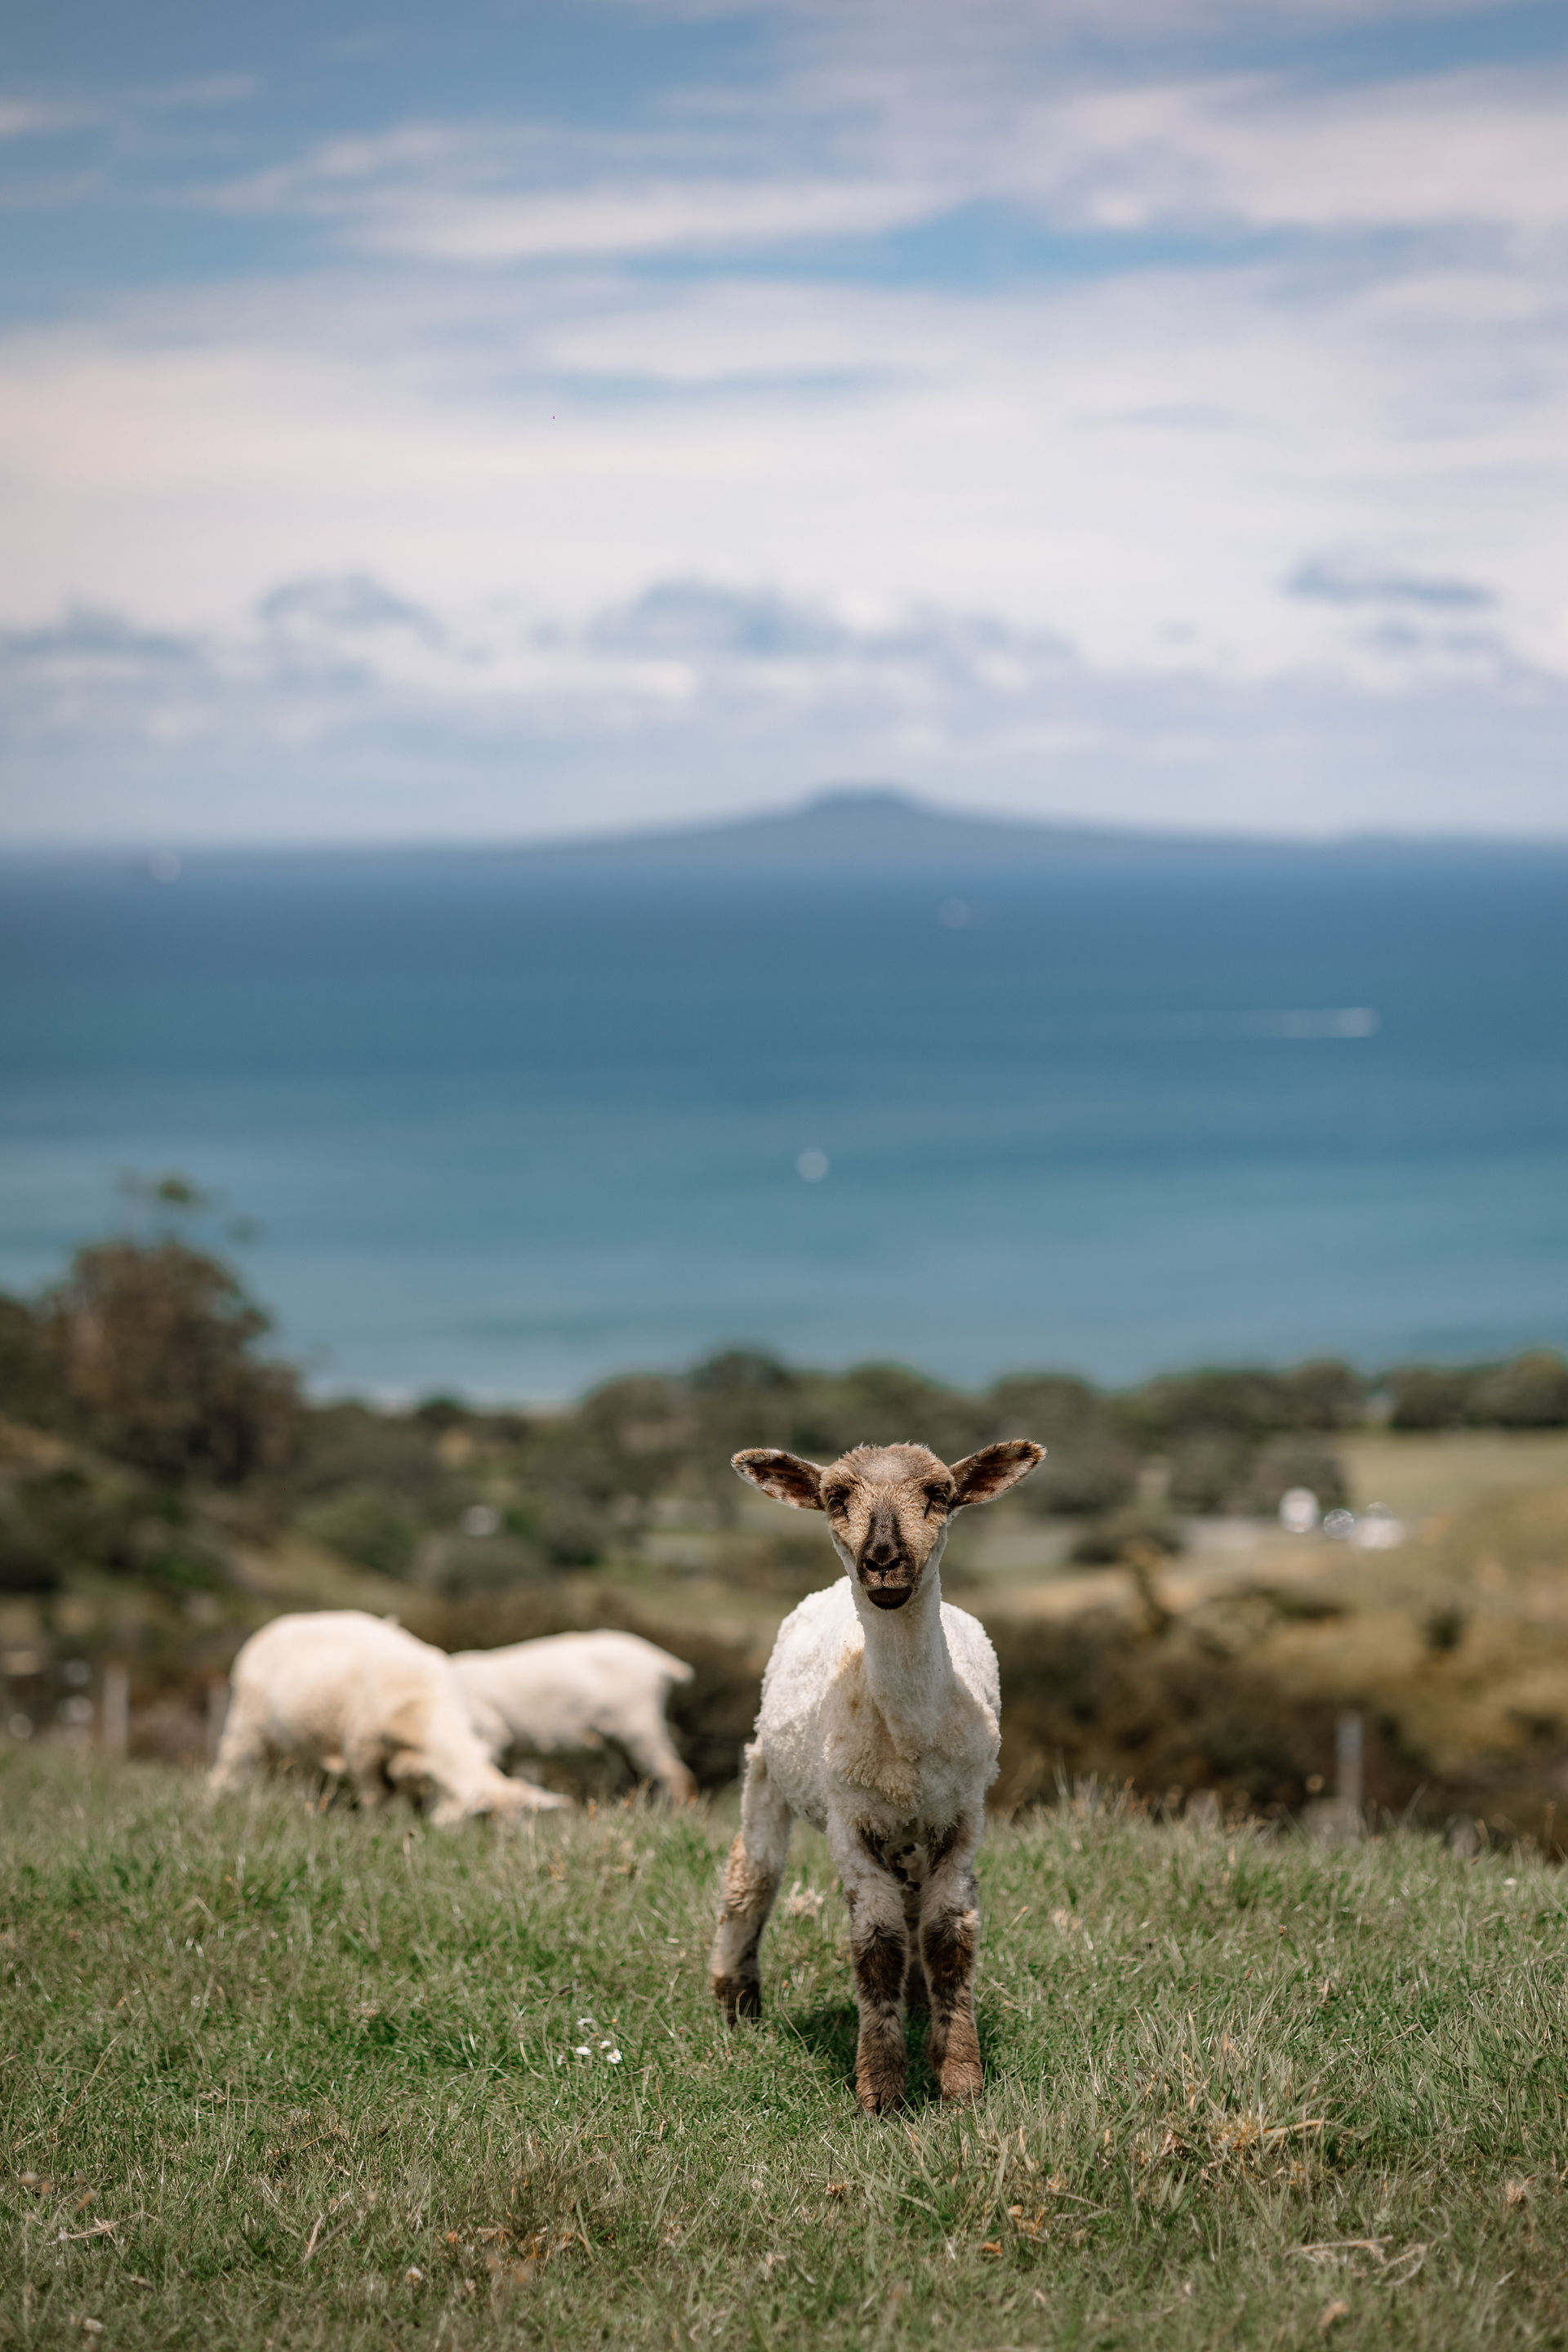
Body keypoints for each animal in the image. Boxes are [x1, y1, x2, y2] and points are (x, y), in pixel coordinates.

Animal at [209, 1610, 568, 1825]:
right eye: (485, 1821)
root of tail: (277, 1625)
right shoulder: (363, 1752)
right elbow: (376, 1798)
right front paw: (374, 1830)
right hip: (246, 1724)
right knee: (230, 1769)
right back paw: (217, 1802)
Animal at [450, 1631, 697, 1803]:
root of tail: (661, 1663)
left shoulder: (488, 1734)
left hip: (639, 1724)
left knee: (674, 1772)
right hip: (619, 1738)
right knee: (633, 1778)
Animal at [710, 1438, 1043, 2112]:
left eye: (939, 1494)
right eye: (836, 1496)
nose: (883, 1560)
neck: (910, 1732)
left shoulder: (964, 1815)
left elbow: (947, 1936)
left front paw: (960, 2082)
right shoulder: (850, 1822)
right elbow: (877, 1944)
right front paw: (883, 2091)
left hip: (912, 1831)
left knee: (914, 1905)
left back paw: (918, 2004)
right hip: (766, 1768)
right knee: (752, 1876)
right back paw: (736, 2005)